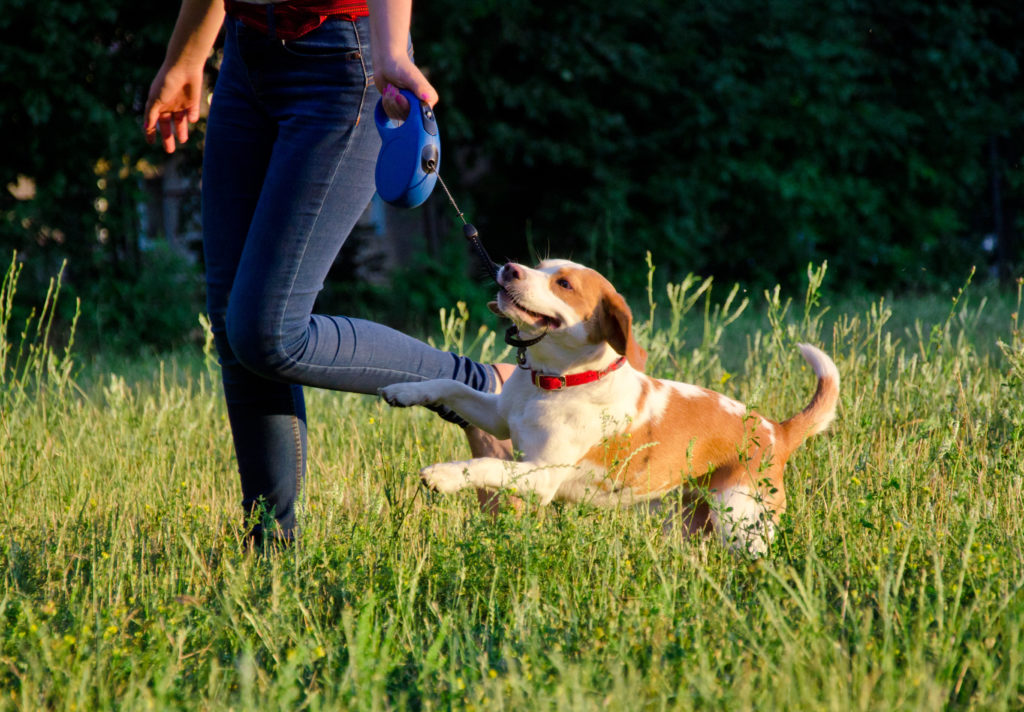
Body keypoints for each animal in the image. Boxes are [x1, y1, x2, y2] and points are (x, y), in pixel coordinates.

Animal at [378, 259, 839, 553]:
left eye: (564, 284)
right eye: (540, 265)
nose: (509, 268)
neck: (555, 382)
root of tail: (777, 429)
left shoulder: (542, 477)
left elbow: (485, 464)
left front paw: (443, 475)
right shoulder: (499, 419)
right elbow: (451, 386)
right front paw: (403, 390)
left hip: (742, 523)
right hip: (691, 523)